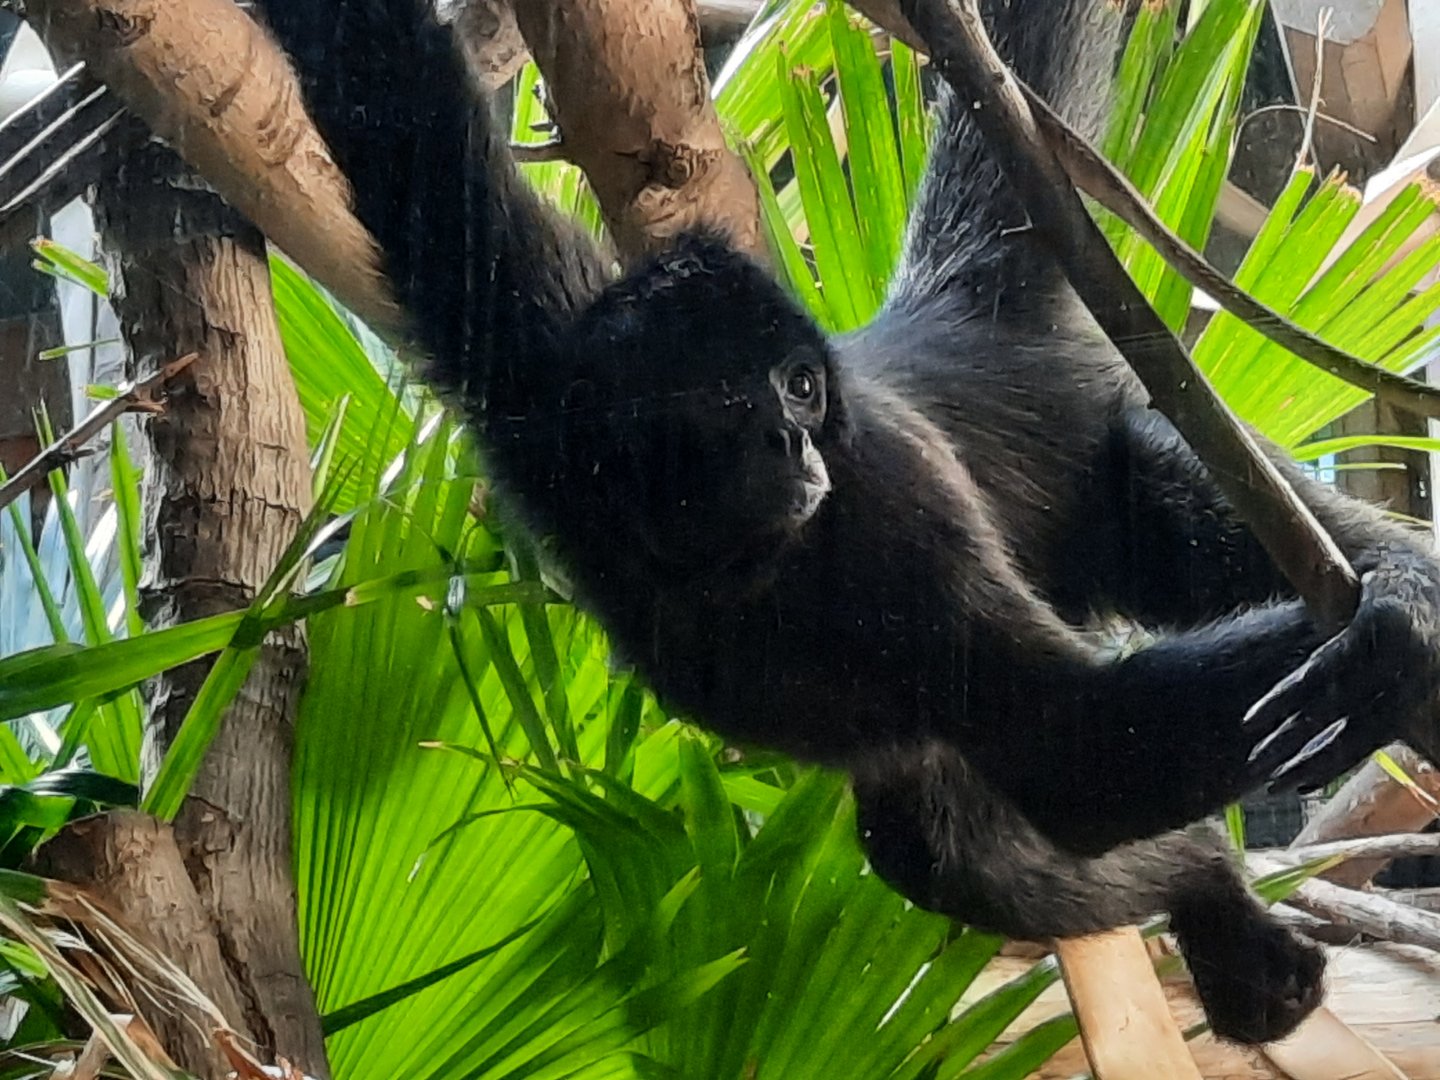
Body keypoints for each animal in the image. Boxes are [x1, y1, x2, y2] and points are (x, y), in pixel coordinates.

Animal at [241, 0, 1440, 1045]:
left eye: (803, 387)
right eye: (731, 399)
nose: (794, 444)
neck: (723, 565)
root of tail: (950, 321)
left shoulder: (889, 506)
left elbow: (1069, 744)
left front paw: (1383, 647)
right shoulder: (537, 374)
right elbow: (398, 108)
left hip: (1116, 464)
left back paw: (1391, 614)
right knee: (929, 844)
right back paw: (1208, 888)